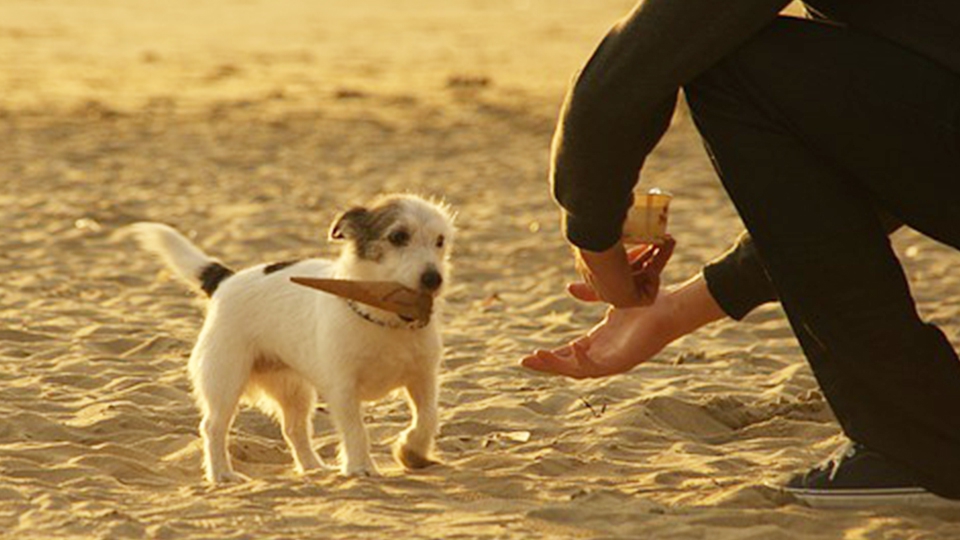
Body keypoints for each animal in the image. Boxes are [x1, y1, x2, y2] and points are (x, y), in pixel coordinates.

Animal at [132, 195, 458, 486]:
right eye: (398, 236)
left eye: (440, 241)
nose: (434, 279)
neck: (386, 320)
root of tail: (227, 279)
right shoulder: (343, 389)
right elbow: (356, 430)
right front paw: (361, 467)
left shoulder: (423, 379)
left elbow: (428, 418)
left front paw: (411, 451)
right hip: (225, 379)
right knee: (212, 427)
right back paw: (221, 474)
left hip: (294, 389)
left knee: (294, 429)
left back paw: (313, 467)